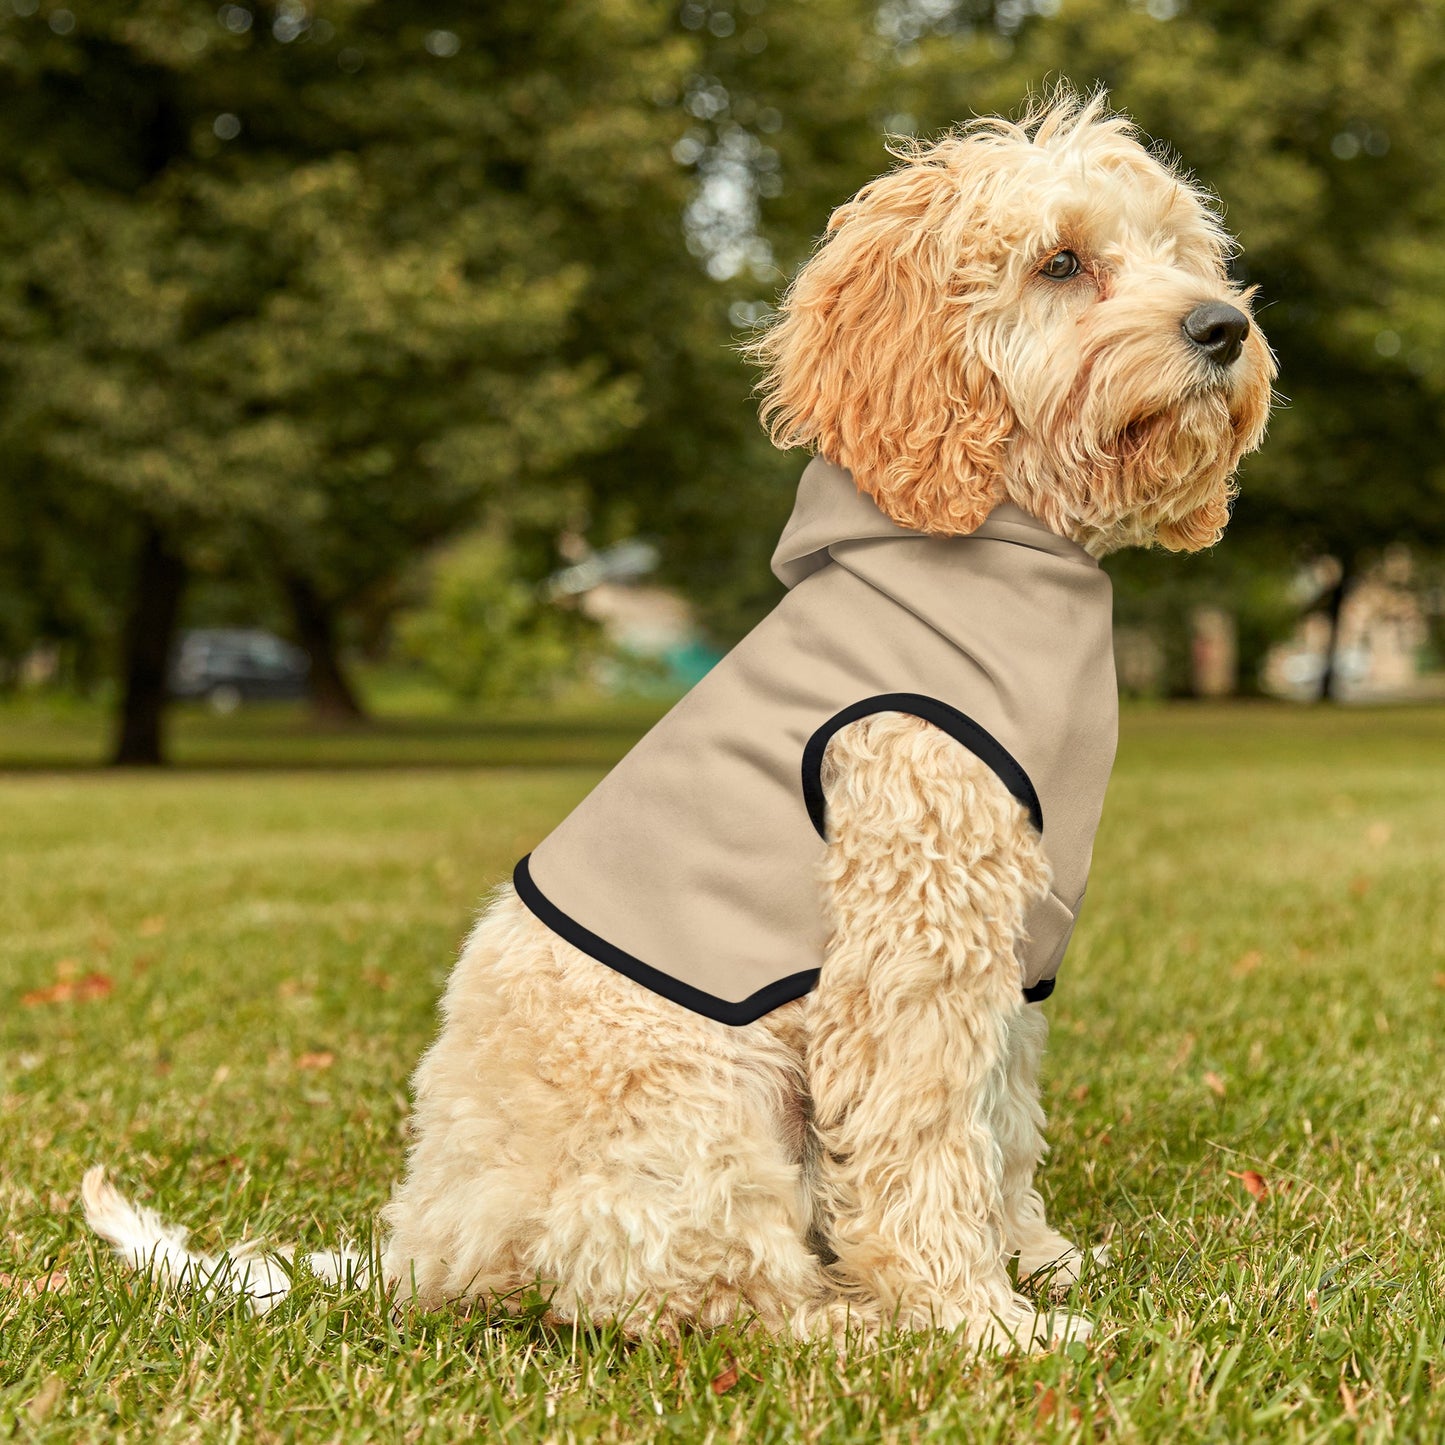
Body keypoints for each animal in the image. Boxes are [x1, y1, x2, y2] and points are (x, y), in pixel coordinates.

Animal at [84, 93, 1271, 1352]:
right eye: (1060, 262)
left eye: (1181, 252)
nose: (1222, 327)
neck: (996, 549)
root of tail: (424, 1245)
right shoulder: (912, 938)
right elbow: (923, 1139)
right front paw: (976, 1319)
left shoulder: (1013, 945)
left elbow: (999, 1122)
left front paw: (1035, 1260)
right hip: (703, 1098)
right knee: (698, 1290)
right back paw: (851, 1322)